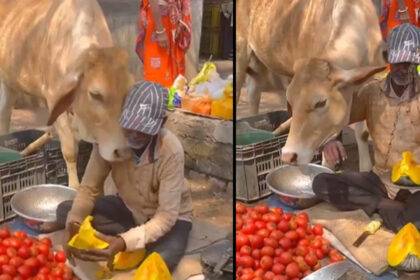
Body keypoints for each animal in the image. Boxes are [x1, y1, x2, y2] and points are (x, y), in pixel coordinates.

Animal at [0, 1, 134, 188]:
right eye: (95, 94)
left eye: (128, 91)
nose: (122, 151)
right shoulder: (54, 100)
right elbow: (70, 150)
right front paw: (74, 186)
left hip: (10, 82)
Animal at [236, 0, 388, 166]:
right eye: (291, 103)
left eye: (321, 102)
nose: (288, 156)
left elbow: (362, 133)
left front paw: (365, 167)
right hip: (241, 49)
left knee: (253, 94)